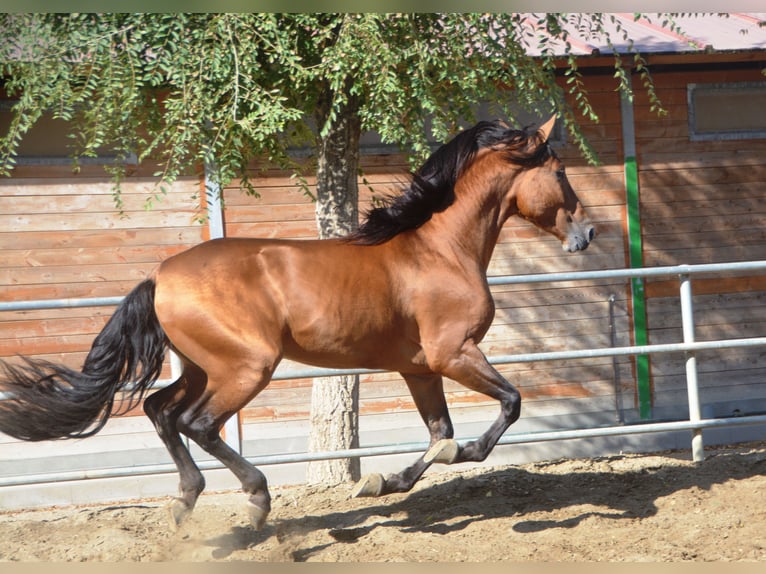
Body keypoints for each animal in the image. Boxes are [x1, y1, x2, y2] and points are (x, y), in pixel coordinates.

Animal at [0, 116, 592, 532]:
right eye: (561, 172)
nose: (586, 234)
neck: (441, 249)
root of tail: (159, 275)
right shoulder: (455, 353)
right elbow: (508, 405)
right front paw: (456, 456)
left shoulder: (420, 368)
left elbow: (438, 434)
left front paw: (380, 482)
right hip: (245, 368)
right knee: (197, 423)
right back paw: (256, 501)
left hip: (202, 367)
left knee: (160, 411)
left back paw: (185, 503)